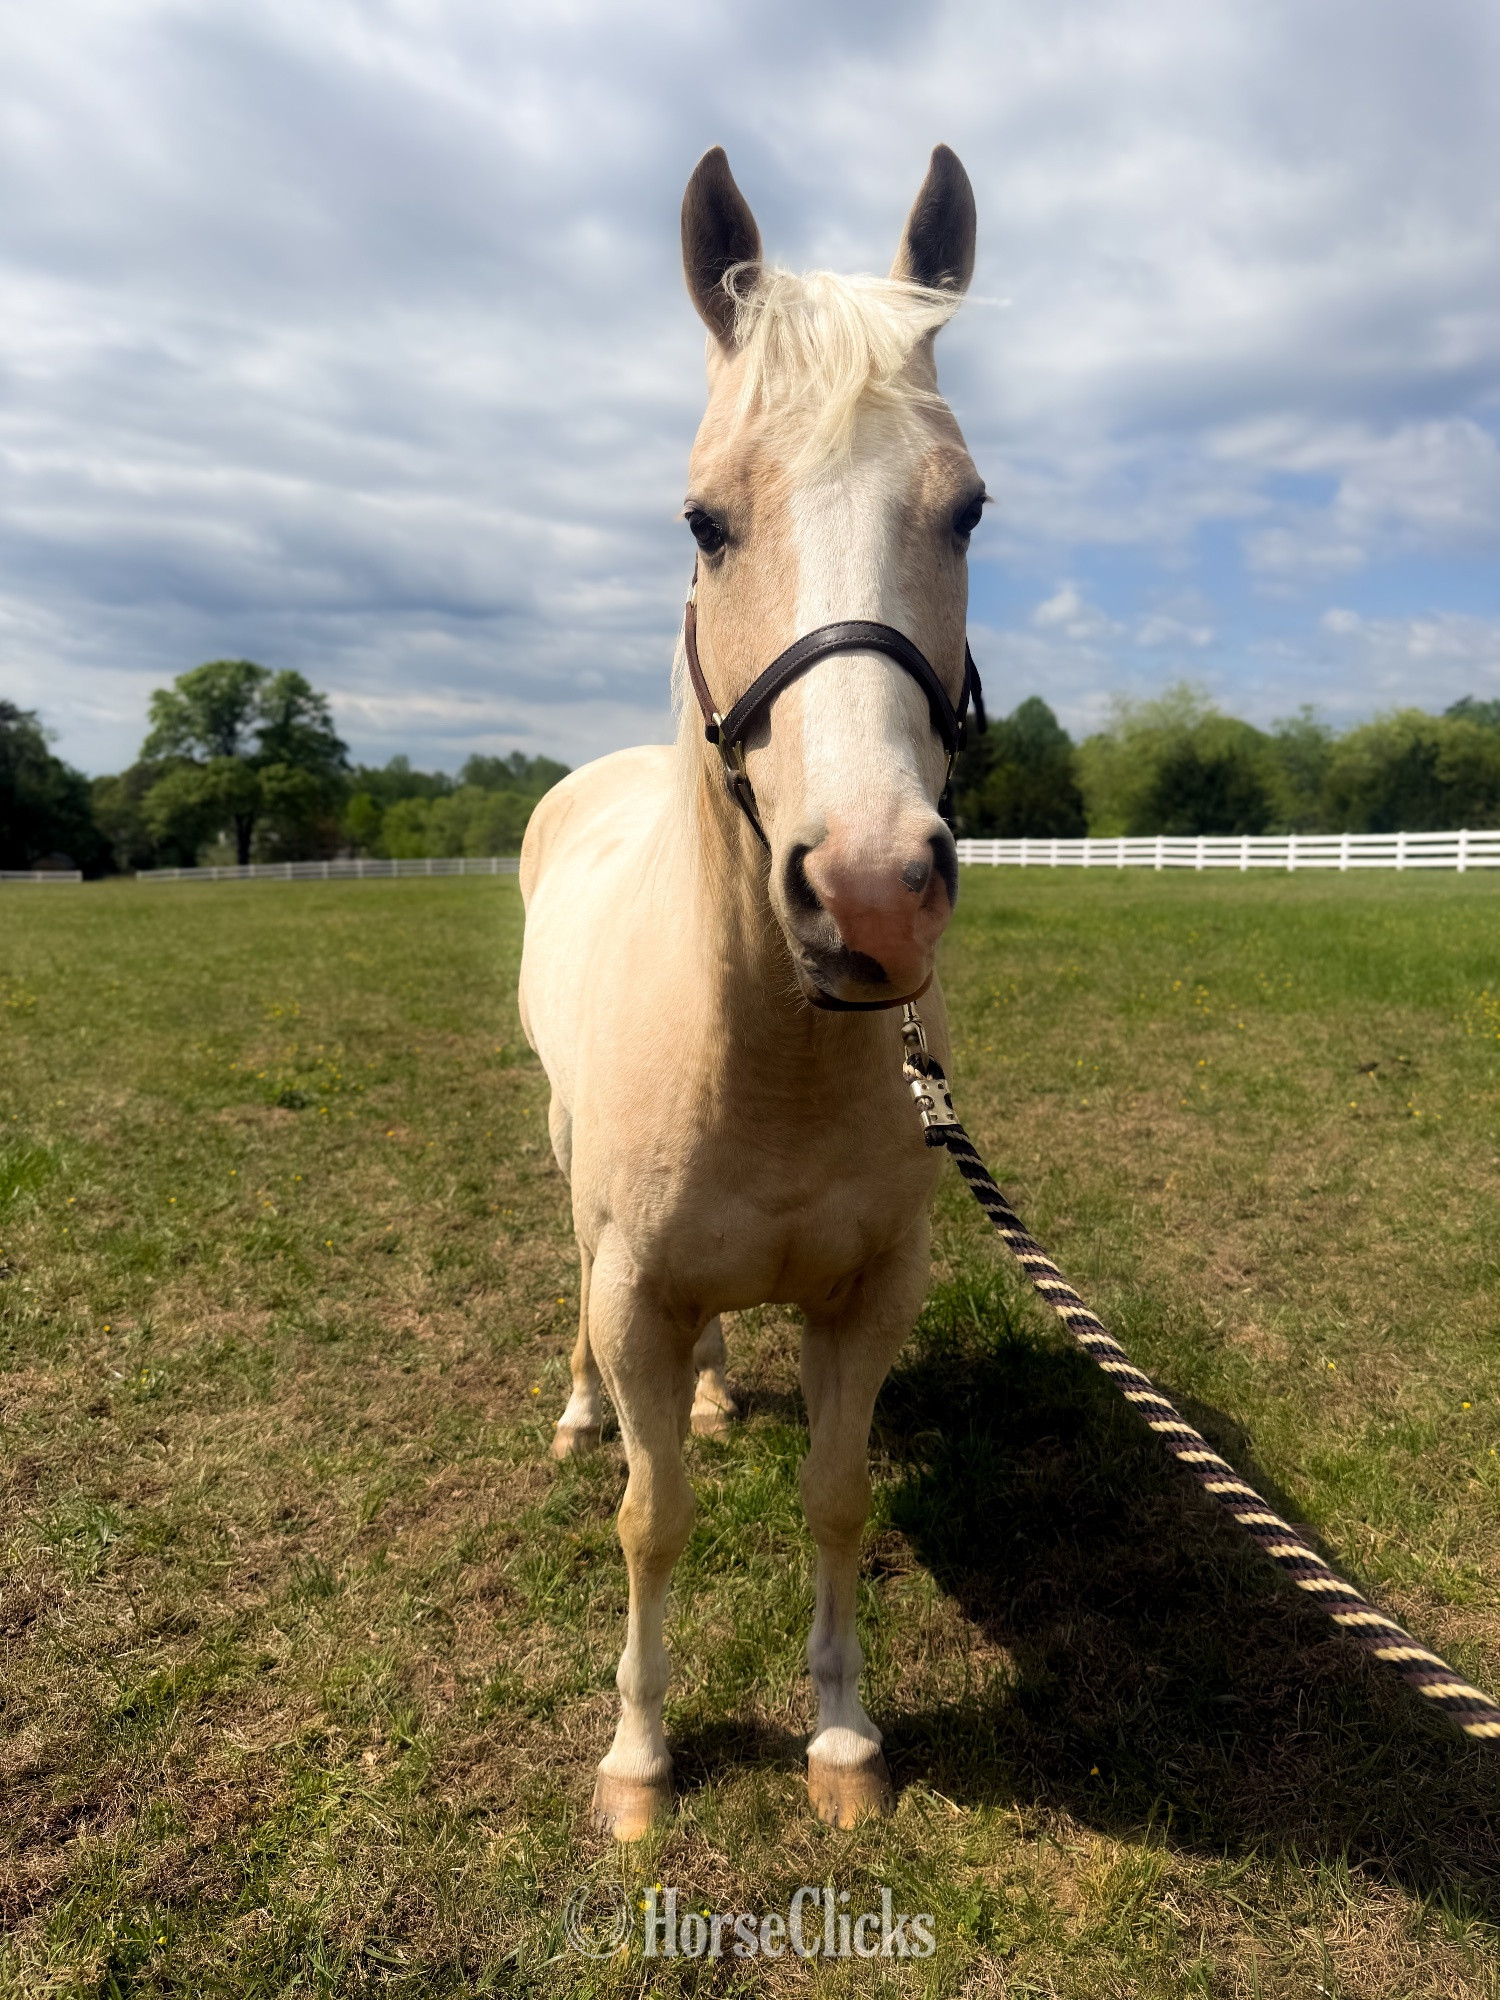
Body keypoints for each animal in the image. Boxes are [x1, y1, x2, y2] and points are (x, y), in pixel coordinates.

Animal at [518, 142, 984, 1840]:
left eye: (968, 509)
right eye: (705, 521)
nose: (868, 892)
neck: (769, 1049)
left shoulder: (867, 1295)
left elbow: (834, 1499)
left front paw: (841, 1739)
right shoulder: (635, 1288)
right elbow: (653, 1522)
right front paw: (639, 1756)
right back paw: (581, 1412)